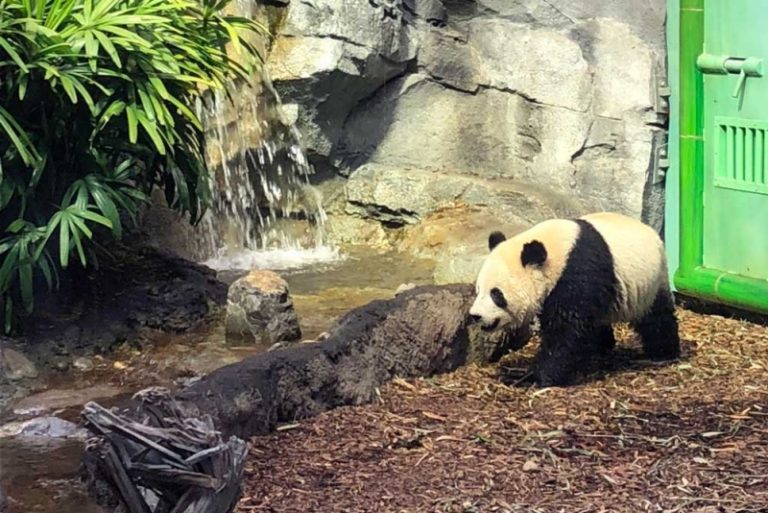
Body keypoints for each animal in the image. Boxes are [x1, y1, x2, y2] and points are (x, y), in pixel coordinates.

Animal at [468, 211, 680, 387]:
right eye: (478, 290)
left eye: (496, 294)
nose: (475, 315)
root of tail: (654, 234)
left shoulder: (578, 273)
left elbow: (565, 330)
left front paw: (530, 377)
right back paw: (601, 347)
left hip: (650, 283)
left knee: (656, 318)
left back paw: (663, 353)